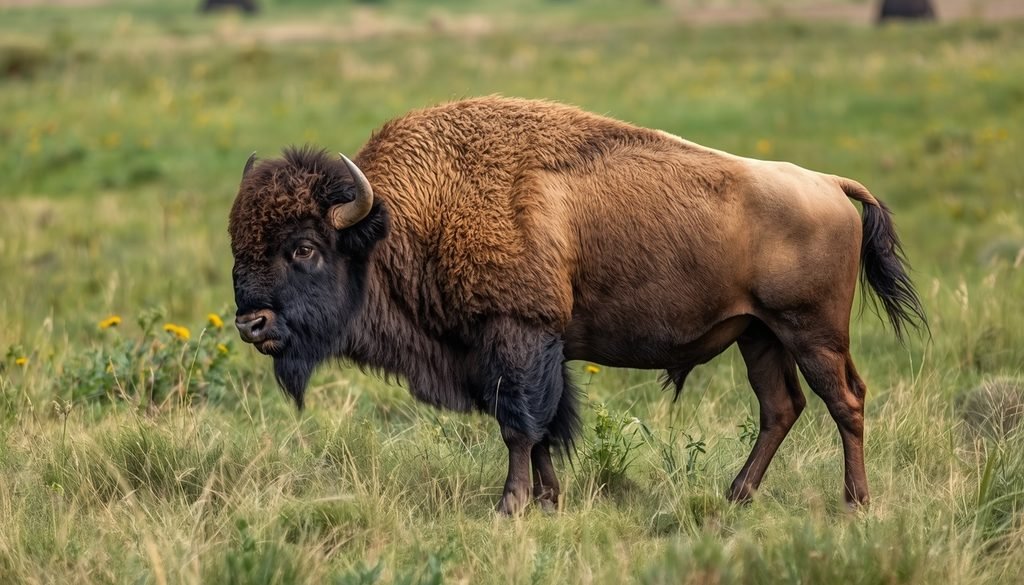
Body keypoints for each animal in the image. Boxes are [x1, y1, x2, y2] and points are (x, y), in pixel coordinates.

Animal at [228, 96, 926, 514]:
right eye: (237, 242)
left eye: (303, 248)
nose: (250, 322)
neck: (405, 217)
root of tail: (829, 184)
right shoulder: (520, 352)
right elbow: (539, 430)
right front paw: (547, 500)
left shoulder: (518, 337)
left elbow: (521, 426)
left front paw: (509, 507)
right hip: (758, 335)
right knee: (781, 407)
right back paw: (736, 495)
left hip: (812, 334)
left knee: (845, 402)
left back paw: (855, 502)